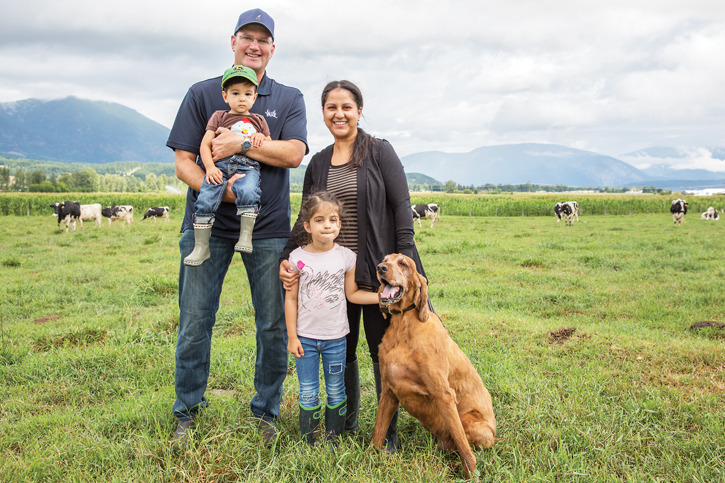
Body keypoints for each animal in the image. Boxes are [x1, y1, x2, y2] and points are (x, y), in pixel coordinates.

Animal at [370, 253, 494, 480]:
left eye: (403, 263)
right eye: (385, 259)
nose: (380, 268)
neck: (403, 324)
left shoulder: (443, 394)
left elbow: (463, 446)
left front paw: (472, 474)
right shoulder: (388, 392)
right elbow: (378, 433)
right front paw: (370, 459)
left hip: (472, 424)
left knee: (462, 443)